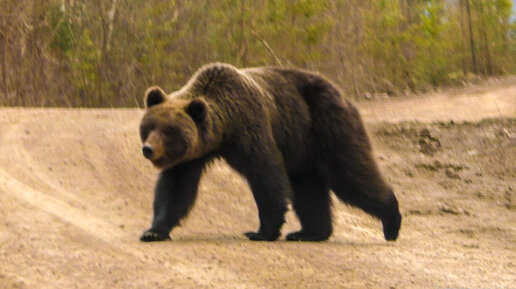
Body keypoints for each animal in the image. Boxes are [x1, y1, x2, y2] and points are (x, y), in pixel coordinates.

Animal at [139, 62, 402, 241]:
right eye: (149, 127)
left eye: (168, 131)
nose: (148, 149)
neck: (224, 130)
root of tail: (340, 93)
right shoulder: (192, 154)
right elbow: (175, 188)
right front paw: (153, 231)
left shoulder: (251, 129)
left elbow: (266, 176)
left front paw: (262, 231)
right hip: (303, 148)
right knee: (308, 187)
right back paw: (309, 232)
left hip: (327, 125)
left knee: (350, 173)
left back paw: (391, 221)